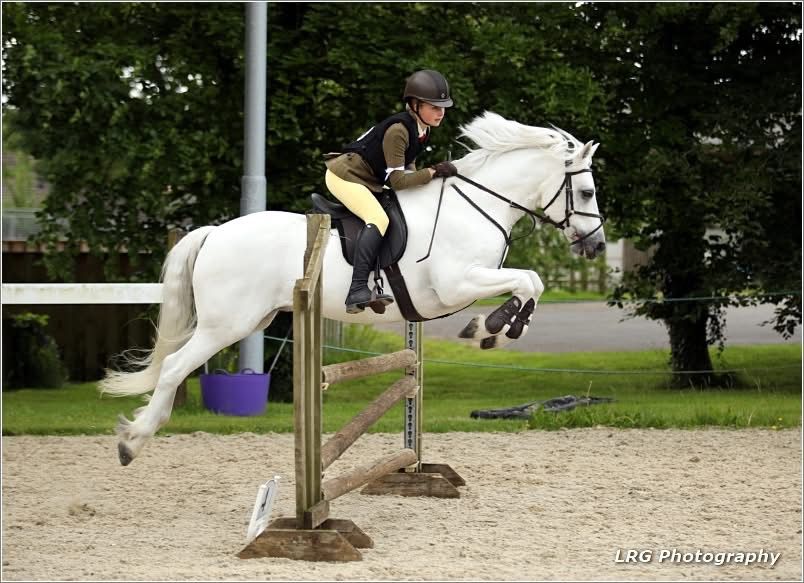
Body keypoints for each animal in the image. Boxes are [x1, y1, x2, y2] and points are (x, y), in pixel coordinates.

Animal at [99, 111, 605, 465]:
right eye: (585, 193)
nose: (597, 245)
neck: (476, 204)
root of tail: (213, 233)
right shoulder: (455, 282)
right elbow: (527, 279)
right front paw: (493, 326)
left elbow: (532, 282)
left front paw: (494, 330)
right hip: (225, 325)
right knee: (173, 368)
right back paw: (132, 441)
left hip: (250, 318)